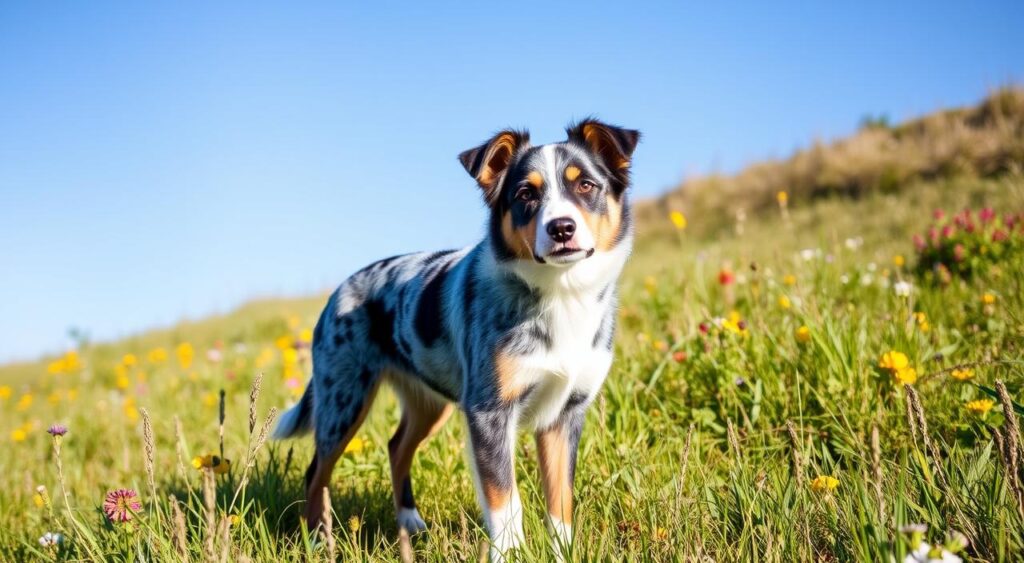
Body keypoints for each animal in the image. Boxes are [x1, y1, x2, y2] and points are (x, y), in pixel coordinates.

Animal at [276, 119, 634, 560]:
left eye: (585, 185)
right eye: (525, 194)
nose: (561, 228)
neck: (560, 295)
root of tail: (338, 292)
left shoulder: (565, 415)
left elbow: (560, 502)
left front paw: (563, 552)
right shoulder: (488, 412)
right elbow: (505, 502)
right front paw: (509, 553)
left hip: (429, 402)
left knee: (397, 447)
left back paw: (410, 523)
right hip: (343, 400)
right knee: (316, 471)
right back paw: (315, 539)